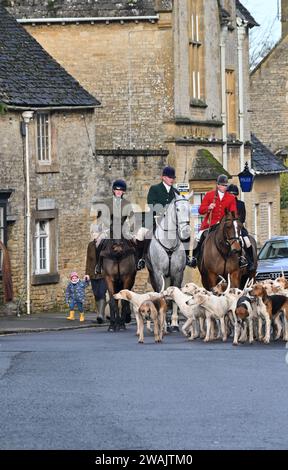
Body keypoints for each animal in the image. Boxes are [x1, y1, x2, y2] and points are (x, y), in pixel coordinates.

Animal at [146, 191, 194, 330]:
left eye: (189, 209)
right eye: (177, 209)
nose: (186, 232)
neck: (169, 242)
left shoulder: (177, 274)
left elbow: (174, 296)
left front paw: (174, 322)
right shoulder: (158, 273)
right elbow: (161, 295)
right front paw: (163, 322)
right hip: (153, 275)